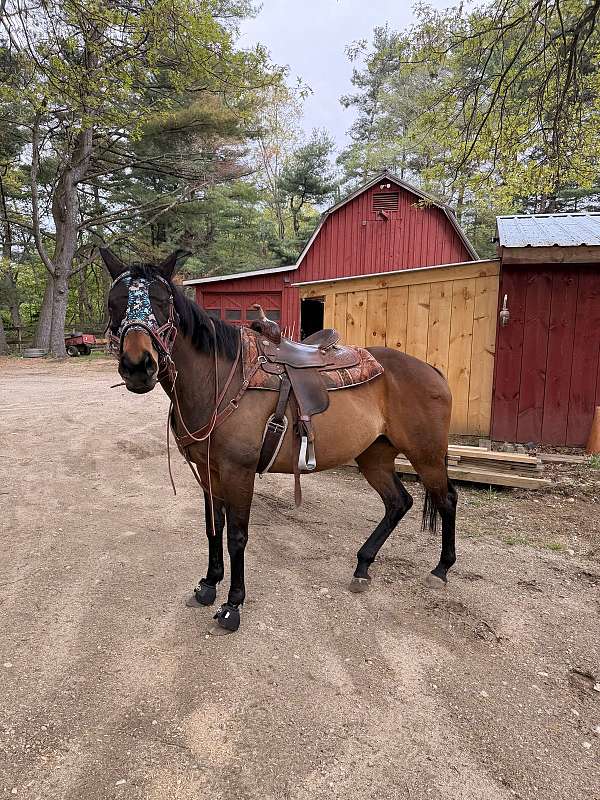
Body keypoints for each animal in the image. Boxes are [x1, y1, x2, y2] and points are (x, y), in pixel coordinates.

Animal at [100, 248, 458, 634]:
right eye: (113, 302)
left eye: (163, 301)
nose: (138, 366)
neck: (220, 381)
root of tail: (433, 370)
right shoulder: (209, 471)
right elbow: (213, 528)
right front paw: (208, 585)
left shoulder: (238, 472)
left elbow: (236, 536)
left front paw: (232, 606)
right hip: (374, 455)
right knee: (398, 502)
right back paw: (363, 566)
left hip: (426, 455)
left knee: (447, 499)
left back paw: (440, 570)